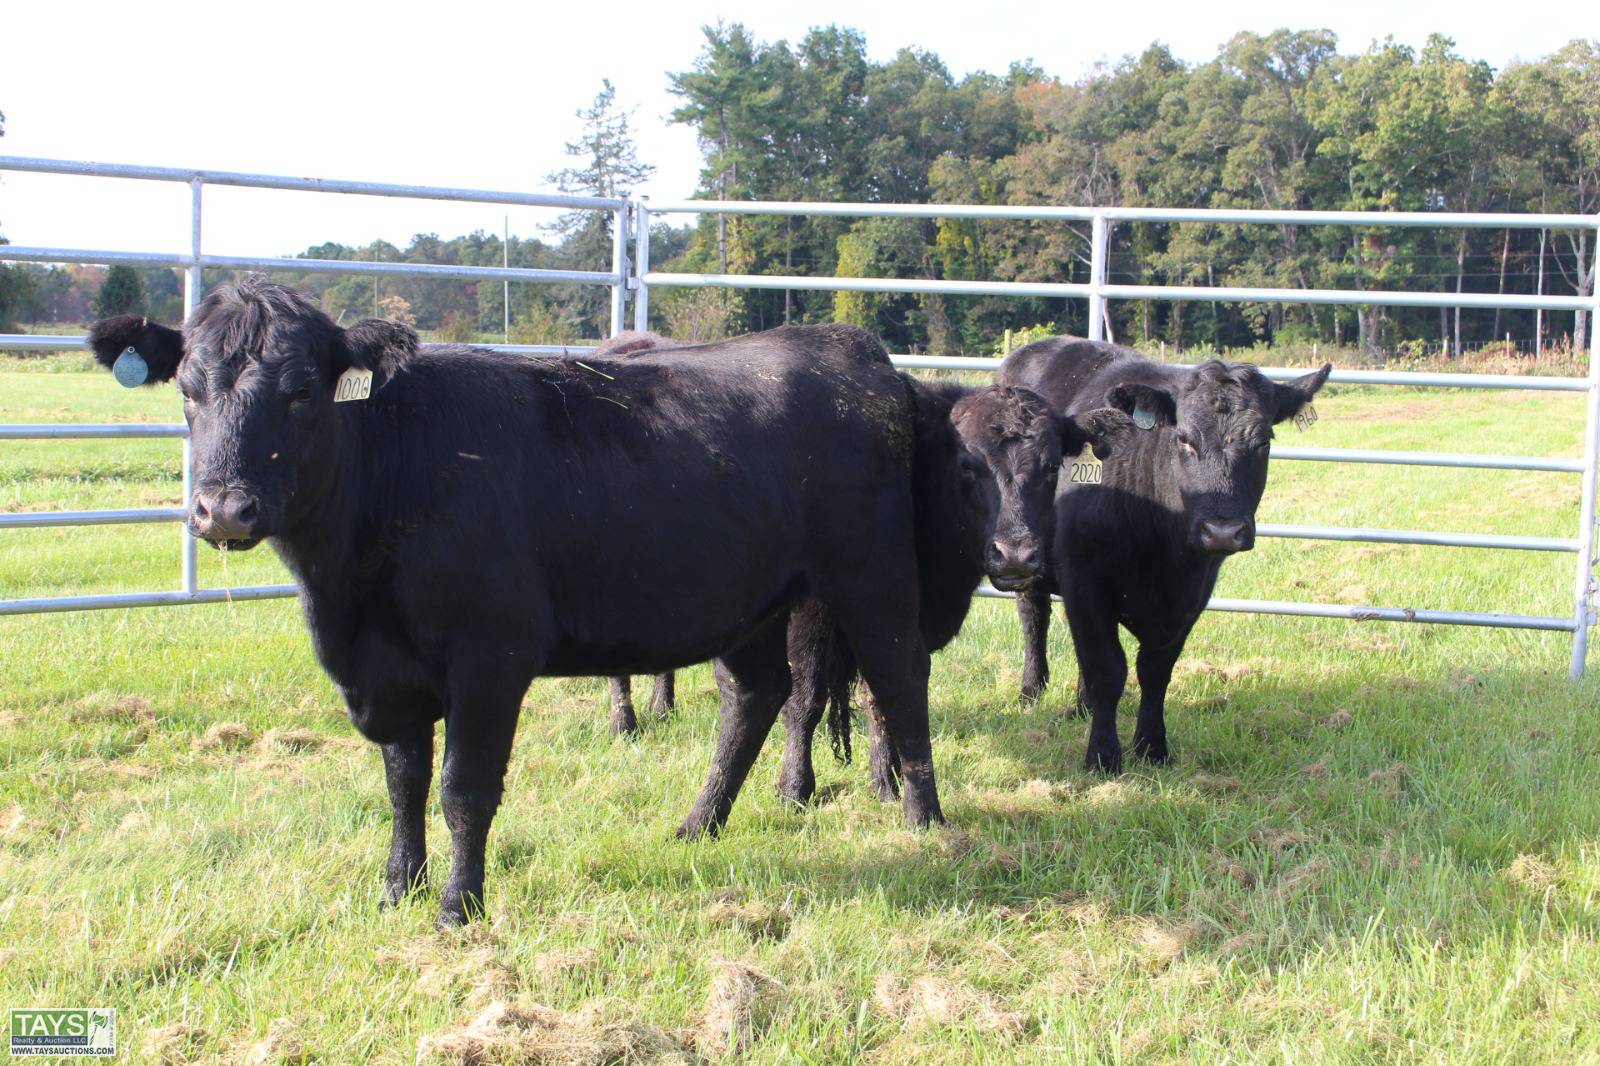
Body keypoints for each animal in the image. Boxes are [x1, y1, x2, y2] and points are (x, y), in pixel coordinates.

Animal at [86, 279, 945, 927]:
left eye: (301, 392)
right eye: (188, 390)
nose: (223, 510)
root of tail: (850, 348)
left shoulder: (489, 656)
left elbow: (463, 788)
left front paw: (457, 909)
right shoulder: (387, 670)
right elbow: (403, 782)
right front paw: (398, 890)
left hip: (870, 576)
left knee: (900, 682)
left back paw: (925, 821)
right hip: (749, 597)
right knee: (756, 695)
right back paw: (699, 825)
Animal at [773, 379, 1131, 805]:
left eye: (1050, 467)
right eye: (967, 465)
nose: (1015, 554)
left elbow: (884, 696)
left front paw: (887, 781)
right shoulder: (810, 614)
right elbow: (805, 697)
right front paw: (794, 788)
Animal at [998, 338, 1329, 773]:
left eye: (1264, 442)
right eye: (1185, 438)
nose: (1223, 530)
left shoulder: (1192, 594)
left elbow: (1154, 671)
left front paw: (1153, 747)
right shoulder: (1086, 581)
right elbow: (1108, 668)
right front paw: (1103, 756)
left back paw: (1082, 704)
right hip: (1024, 558)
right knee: (1033, 617)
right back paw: (1031, 690)